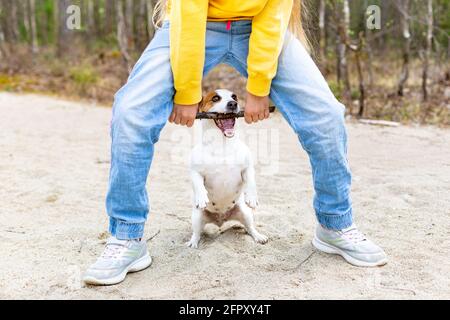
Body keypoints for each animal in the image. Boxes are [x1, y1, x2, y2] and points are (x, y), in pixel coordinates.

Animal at [186, 89, 268, 249]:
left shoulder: (247, 168)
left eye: (234, 97)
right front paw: (201, 197)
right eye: (215, 98)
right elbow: (198, 184)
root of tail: (220, 221)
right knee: (197, 233)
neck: (222, 144)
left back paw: (258, 236)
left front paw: (252, 197)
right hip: (197, 217)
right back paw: (193, 242)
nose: (233, 104)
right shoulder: (194, 171)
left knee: (250, 228)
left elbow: (251, 182)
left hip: (245, 213)